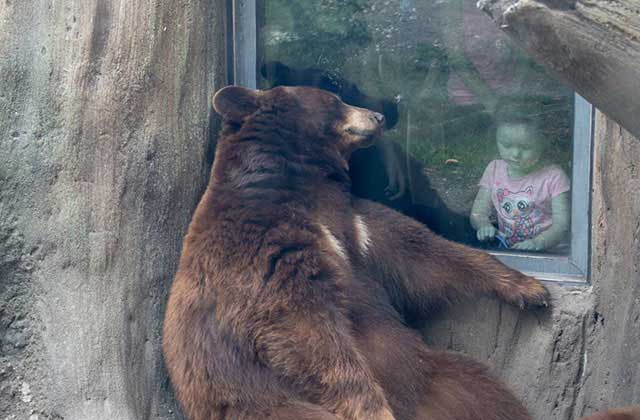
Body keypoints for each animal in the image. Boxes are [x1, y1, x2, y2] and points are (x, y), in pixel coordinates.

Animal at [162, 86, 548, 420]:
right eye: (334, 98)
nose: (378, 116)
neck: (302, 184)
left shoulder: (357, 225)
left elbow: (422, 255)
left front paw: (529, 288)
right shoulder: (263, 249)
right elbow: (303, 327)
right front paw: (374, 410)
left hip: (441, 380)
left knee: (489, 395)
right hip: (268, 405)